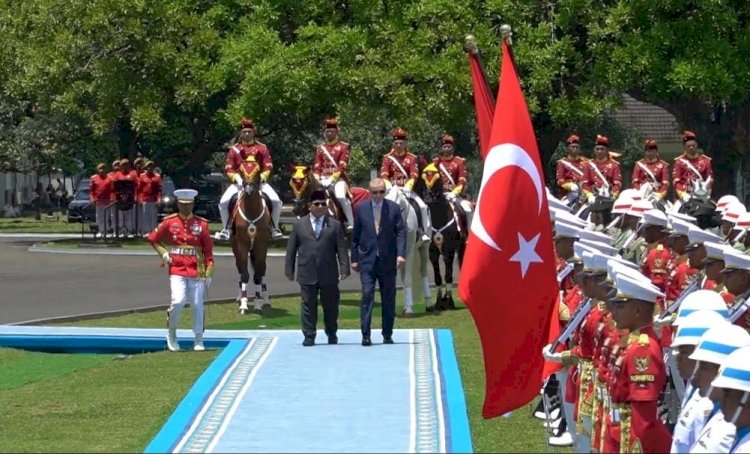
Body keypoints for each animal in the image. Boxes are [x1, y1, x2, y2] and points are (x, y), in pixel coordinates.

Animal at [235, 160, 274, 316]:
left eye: (258, 172)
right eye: (241, 171)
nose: (248, 191)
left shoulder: (261, 245)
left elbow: (258, 274)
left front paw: (258, 304)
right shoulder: (242, 245)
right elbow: (245, 275)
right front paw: (244, 304)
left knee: (262, 270)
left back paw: (265, 299)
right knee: (240, 270)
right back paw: (240, 297)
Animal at [388, 186, 434, 314]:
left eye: (400, 209)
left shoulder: (408, 251)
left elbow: (408, 279)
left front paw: (409, 309)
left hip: (424, 249)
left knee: (423, 272)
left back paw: (428, 304)